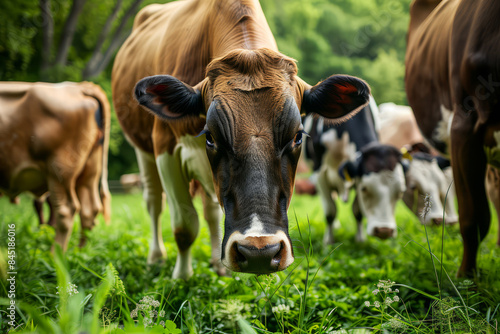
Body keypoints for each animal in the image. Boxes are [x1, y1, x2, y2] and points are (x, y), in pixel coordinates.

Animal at [0, 80, 111, 248]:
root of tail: (80, 88)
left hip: (60, 171)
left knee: (66, 210)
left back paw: (55, 253)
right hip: (90, 171)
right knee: (89, 210)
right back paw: (80, 250)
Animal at [112, 0, 372, 280]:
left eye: (297, 136)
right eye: (211, 137)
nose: (260, 252)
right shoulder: (166, 150)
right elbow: (184, 226)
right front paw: (181, 277)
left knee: (211, 210)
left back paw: (217, 264)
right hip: (143, 150)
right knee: (153, 201)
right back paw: (156, 257)